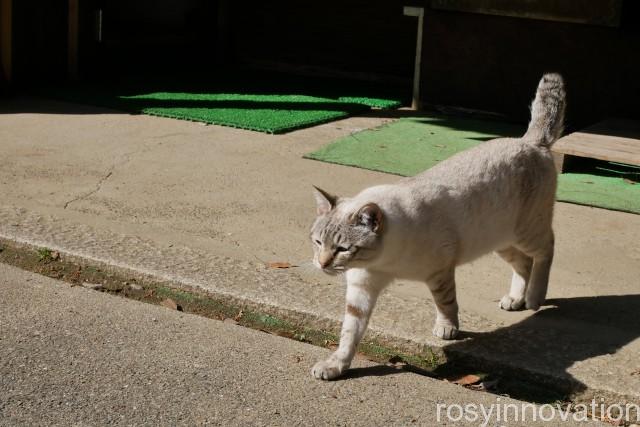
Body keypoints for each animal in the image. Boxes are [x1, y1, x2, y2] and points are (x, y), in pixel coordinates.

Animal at [310, 73, 564, 382]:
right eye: (318, 242)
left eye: (343, 248)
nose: (322, 263)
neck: (383, 261)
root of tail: (531, 141)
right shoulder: (361, 289)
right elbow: (349, 333)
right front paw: (336, 365)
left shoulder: (440, 272)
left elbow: (446, 303)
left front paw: (448, 328)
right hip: (502, 241)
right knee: (524, 263)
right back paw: (517, 298)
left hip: (527, 231)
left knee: (546, 250)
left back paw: (535, 297)